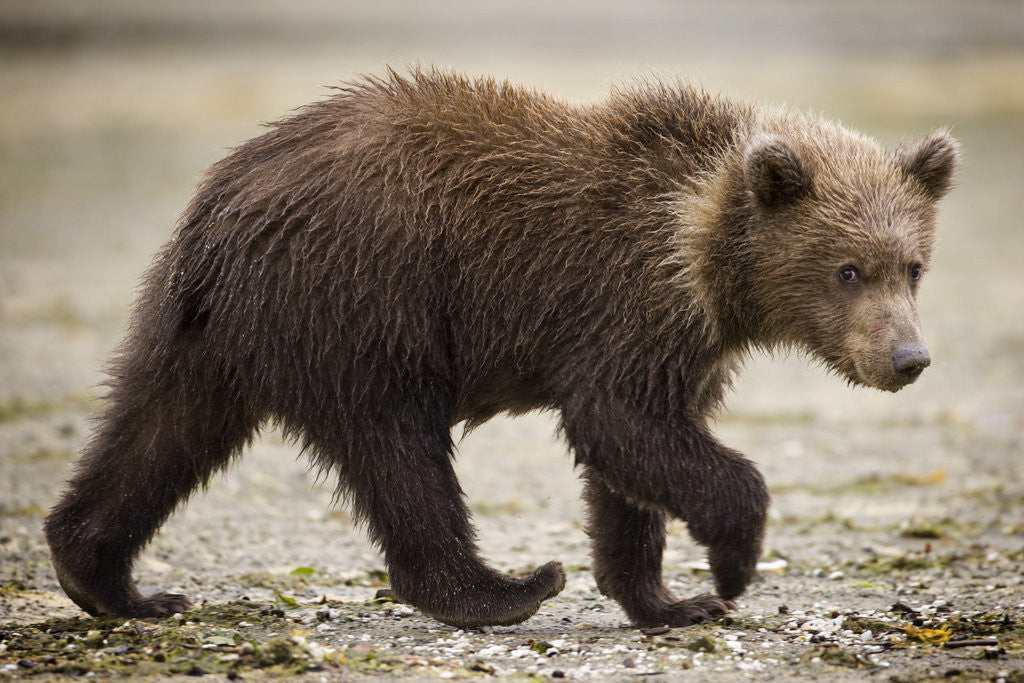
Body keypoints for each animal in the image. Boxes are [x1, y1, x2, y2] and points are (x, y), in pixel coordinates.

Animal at [44, 67, 959, 629]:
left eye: (913, 264)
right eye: (848, 268)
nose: (908, 358)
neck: (703, 246)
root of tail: (222, 205)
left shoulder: (681, 339)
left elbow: (630, 463)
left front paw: (667, 599)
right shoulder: (627, 299)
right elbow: (621, 422)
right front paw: (729, 568)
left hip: (208, 329)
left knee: (158, 429)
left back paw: (115, 581)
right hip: (365, 298)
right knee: (398, 450)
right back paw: (503, 587)